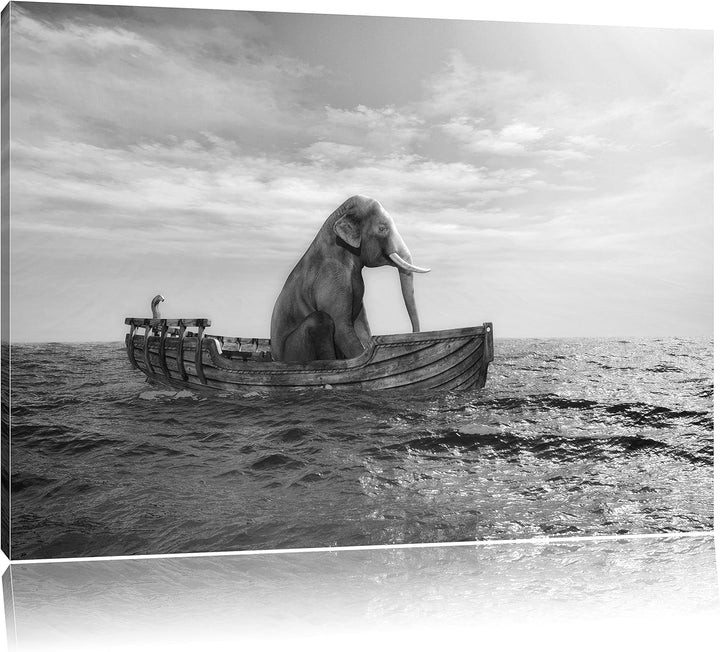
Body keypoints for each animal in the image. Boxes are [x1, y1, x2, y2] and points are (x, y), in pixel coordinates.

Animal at [270, 195, 430, 363]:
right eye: (382, 228)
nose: (413, 334)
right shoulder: (331, 277)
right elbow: (342, 329)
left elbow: (362, 326)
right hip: (294, 350)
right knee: (320, 319)